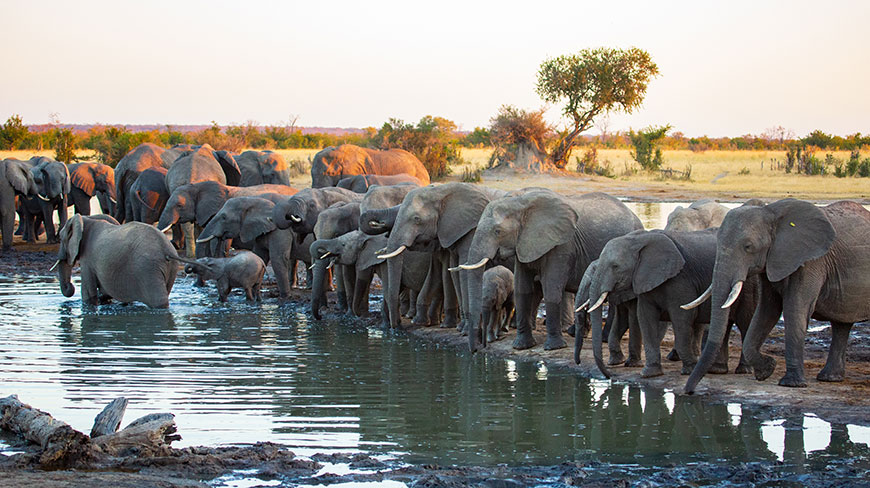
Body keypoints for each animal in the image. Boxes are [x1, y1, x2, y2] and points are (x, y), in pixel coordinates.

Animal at [374, 185, 504, 330]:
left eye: (416, 219)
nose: (396, 327)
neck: (441, 191)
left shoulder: (471, 231)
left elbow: (462, 273)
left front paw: (458, 328)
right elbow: (451, 273)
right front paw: (458, 327)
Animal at [464, 189, 640, 352]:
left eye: (497, 231)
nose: (477, 350)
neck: (521, 202)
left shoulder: (562, 244)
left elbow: (551, 288)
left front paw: (553, 347)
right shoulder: (525, 243)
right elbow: (522, 289)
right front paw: (521, 346)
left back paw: (602, 338)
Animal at [588, 227, 760, 380]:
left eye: (615, 266)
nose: (609, 376)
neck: (639, 239)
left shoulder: (681, 280)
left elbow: (681, 317)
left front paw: (689, 370)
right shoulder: (644, 280)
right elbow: (645, 318)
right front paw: (650, 374)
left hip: (748, 286)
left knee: (744, 322)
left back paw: (743, 370)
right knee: (726, 324)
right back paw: (717, 370)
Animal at [688, 198, 870, 392]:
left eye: (748, 247)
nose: (689, 391)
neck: (771, 213)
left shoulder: (811, 261)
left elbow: (795, 310)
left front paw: (791, 383)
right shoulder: (772, 261)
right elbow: (767, 311)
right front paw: (766, 369)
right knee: (842, 324)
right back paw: (829, 378)